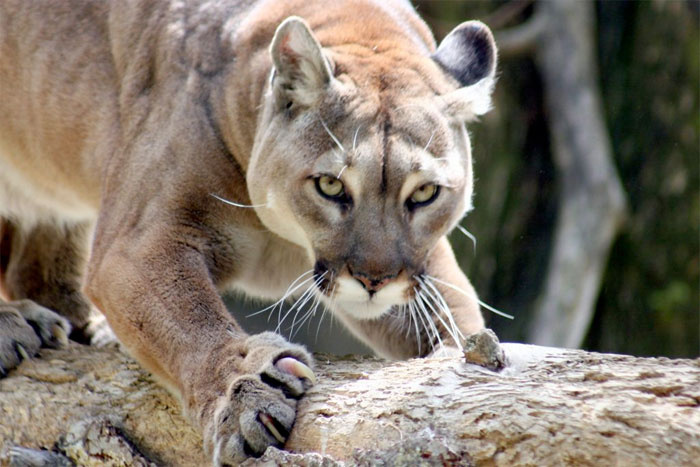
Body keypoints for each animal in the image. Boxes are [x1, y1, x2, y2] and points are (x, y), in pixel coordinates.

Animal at [0, 0, 494, 462]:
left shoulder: (423, 266)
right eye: (331, 185)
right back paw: (16, 326)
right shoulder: (134, 245)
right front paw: (244, 395)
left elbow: (456, 316)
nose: (374, 280)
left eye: (425, 192)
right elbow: (189, 319)